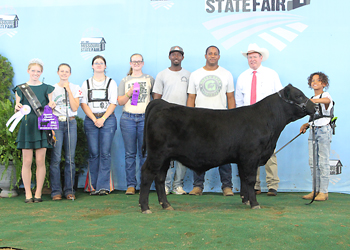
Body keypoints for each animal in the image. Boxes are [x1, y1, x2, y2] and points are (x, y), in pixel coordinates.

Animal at [138, 84, 316, 213]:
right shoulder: (251, 156)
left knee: (159, 178)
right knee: (147, 174)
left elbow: (244, 179)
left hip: (165, 157)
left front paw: (246, 200)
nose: (315, 106)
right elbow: (250, 180)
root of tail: (162, 103)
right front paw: (255, 203)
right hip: (157, 154)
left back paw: (166, 205)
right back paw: (145, 207)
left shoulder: (243, 159)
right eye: (299, 95)